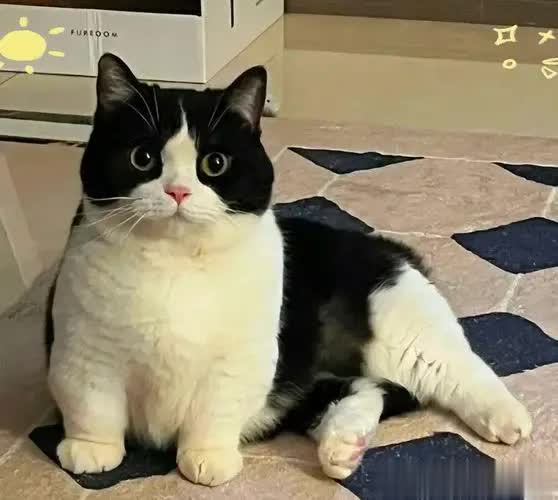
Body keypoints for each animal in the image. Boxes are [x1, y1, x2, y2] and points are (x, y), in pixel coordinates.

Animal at [46, 53, 532, 487]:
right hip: (316, 388)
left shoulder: (236, 362)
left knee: (455, 367)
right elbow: (92, 406)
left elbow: (213, 413)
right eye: (143, 159)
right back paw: (343, 448)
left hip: (404, 328)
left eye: (214, 164)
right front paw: (91, 450)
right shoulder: (84, 353)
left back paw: (509, 419)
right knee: (362, 390)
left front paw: (207, 458)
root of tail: (389, 248)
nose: (178, 191)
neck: (175, 265)